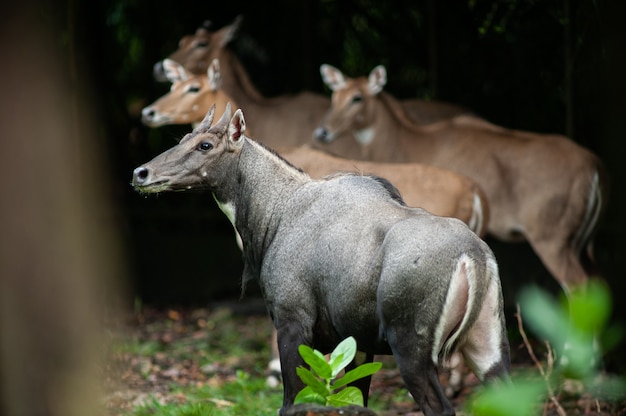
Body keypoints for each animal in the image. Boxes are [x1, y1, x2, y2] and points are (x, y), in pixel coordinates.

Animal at [132, 105, 508, 416]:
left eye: (206, 145)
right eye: (184, 138)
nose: (141, 173)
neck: (281, 210)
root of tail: (474, 255)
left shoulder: (292, 324)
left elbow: (290, 404)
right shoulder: (358, 345)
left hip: (412, 351)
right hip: (488, 349)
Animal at [314, 64, 608, 292]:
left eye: (357, 98)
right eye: (334, 96)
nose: (322, 132)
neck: (412, 141)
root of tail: (594, 166)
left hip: (553, 241)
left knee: (578, 286)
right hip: (583, 245)